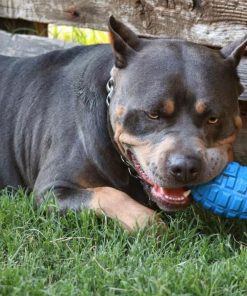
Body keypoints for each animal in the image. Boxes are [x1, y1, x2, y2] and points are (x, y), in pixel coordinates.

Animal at [0, 16, 246, 231]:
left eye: (213, 118)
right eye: (153, 114)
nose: (184, 167)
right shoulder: (52, 189)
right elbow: (109, 194)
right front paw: (153, 226)